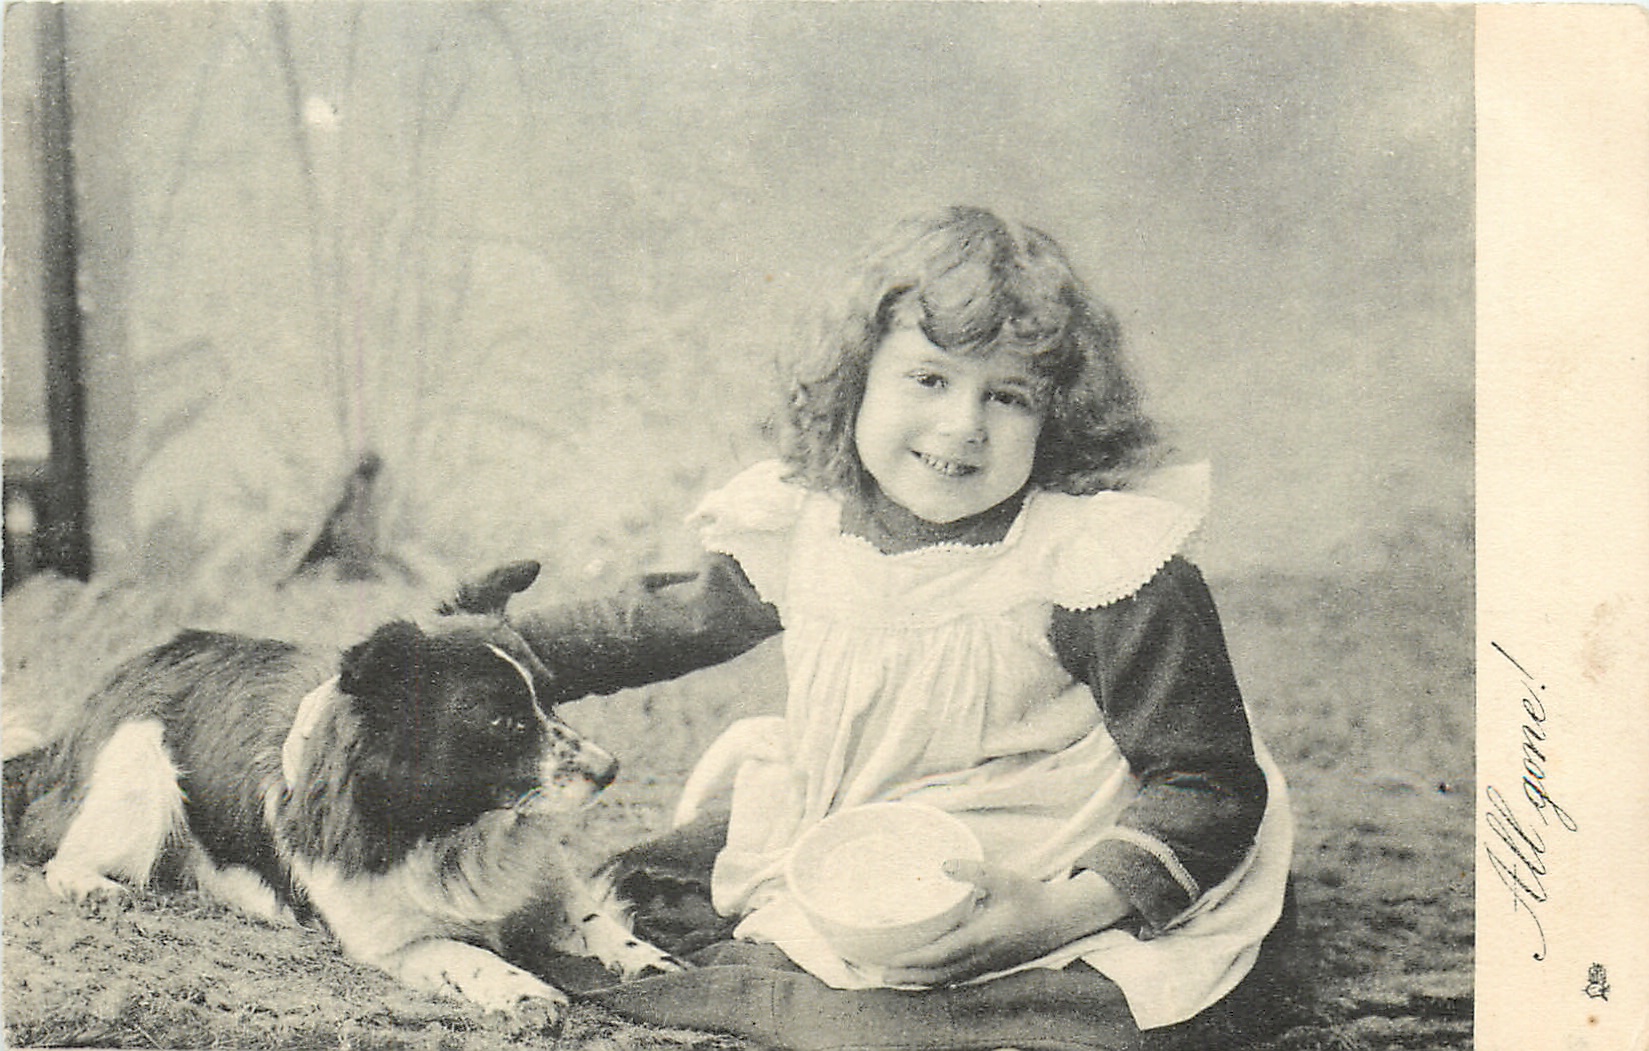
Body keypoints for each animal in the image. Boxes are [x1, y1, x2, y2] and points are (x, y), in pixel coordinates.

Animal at [8, 561, 677, 1025]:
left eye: (550, 698)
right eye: (501, 720)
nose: (611, 769)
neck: (455, 830)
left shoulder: (545, 885)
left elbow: (594, 920)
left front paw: (646, 959)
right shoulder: (391, 943)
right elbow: (466, 955)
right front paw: (521, 987)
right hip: (141, 770)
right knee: (61, 858)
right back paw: (94, 887)